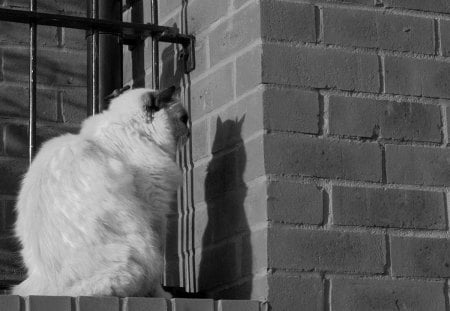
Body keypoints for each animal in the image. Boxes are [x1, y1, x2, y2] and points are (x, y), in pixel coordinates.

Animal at [12, 86, 187, 298]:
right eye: (184, 119)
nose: (189, 131)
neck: (132, 130)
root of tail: (50, 286)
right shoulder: (156, 212)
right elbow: (159, 271)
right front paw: (163, 295)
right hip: (140, 251)